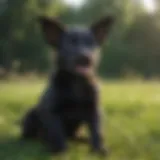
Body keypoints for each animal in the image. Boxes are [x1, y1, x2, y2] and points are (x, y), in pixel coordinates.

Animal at [21, 15, 114, 156]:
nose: (86, 57)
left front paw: (98, 149)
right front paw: (60, 151)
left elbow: (97, 131)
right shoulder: (52, 111)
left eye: (91, 43)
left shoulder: (94, 110)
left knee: (75, 136)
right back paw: (41, 141)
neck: (77, 82)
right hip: (30, 114)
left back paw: (82, 139)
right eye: (70, 43)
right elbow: (57, 133)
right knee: (31, 135)